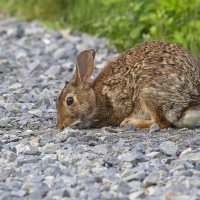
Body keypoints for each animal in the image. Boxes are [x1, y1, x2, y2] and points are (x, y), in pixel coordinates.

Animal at [55, 40, 200, 129]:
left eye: (69, 101)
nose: (61, 125)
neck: (95, 97)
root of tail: (188, 106)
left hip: (149, 94)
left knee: (160, 122)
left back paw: (130, 122)